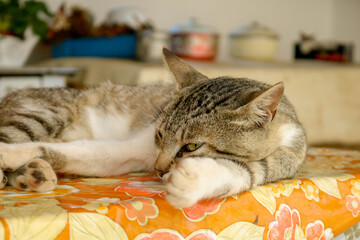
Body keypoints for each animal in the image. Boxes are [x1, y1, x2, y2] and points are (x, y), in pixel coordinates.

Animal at [0, 49, 306, 208]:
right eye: (159, 135)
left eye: (192, 146)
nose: (158, 170)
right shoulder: (129, 148)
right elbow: (73, 149)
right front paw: (10, 154)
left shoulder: (271, 165)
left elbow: (236, 175)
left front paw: (189, 181)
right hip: (44, 115)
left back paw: (33, 174)